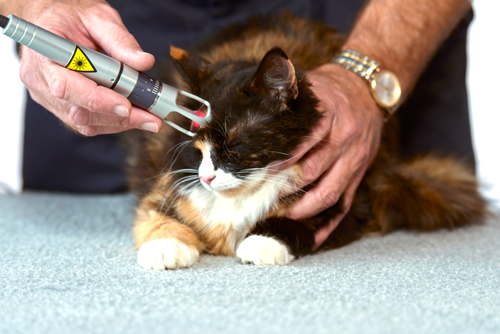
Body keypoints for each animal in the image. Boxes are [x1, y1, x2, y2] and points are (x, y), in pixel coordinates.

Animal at [126, 12, 488, 272]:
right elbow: (159, 215)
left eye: (234, 144)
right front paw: (166, 247)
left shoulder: (350, 198)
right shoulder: (165, 183)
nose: (205, 178)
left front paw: (262, 242)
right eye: (196, 148)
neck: (244, 195)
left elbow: (298, 222)